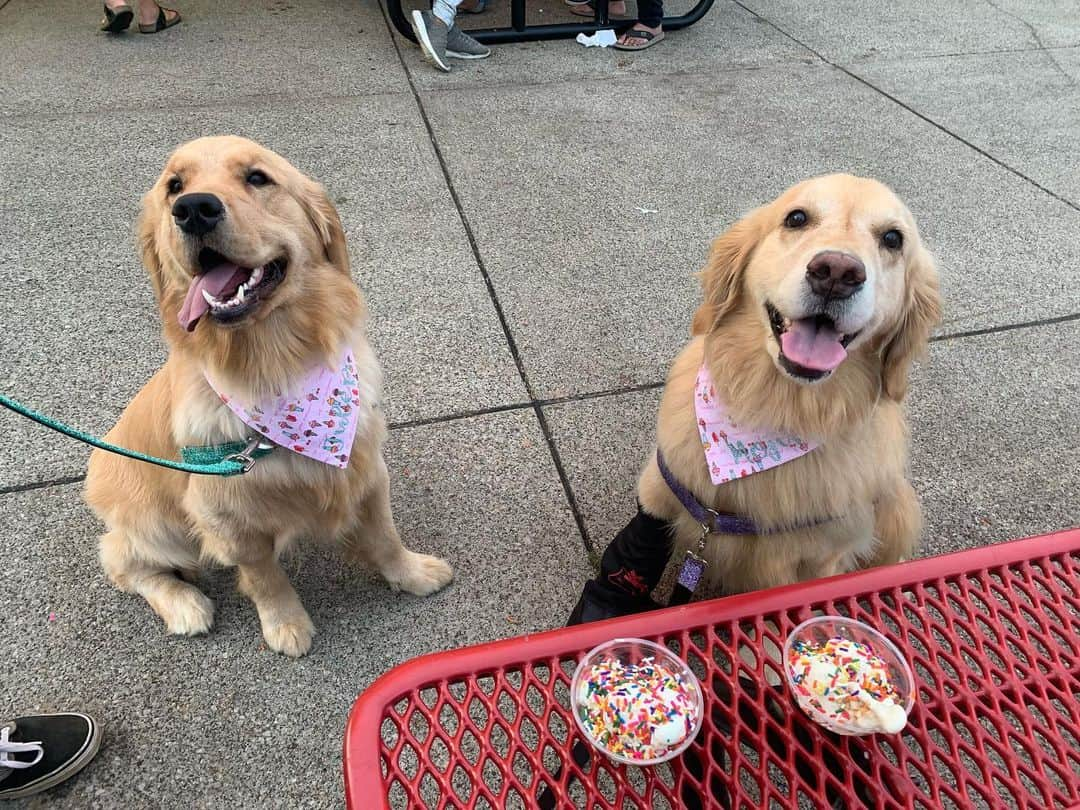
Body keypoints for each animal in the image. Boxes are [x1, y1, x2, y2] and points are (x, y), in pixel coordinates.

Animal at [85, 136, 451, 656]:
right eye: (174, 185)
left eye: (257, 178)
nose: (192, 209)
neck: (277, 367)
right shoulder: (224, 515)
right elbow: (264, 577)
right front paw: (286, 624)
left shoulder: (365, 466)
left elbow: (385, 536)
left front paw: (413, 574)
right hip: (156, 527)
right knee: (122, 561)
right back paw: (184, 604)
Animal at [630, 174, 941, 596]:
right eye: (796, 218)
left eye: (893, 239)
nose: (836, 272)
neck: (774, 409)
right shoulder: (659, 493)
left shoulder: (821, 558)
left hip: (897, 507)